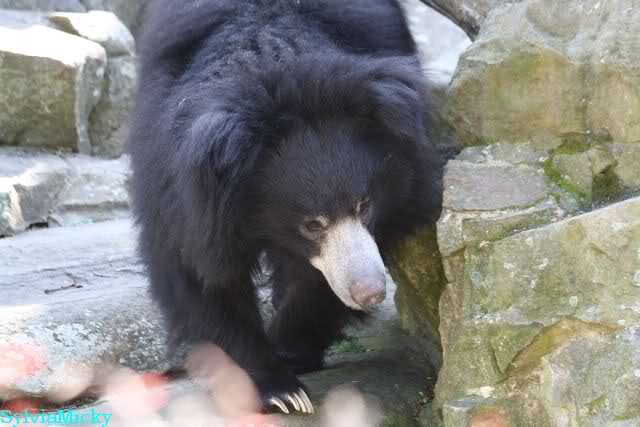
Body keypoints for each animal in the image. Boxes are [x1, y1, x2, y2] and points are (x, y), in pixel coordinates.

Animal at [128, 0, 442, 414]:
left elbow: (314, 283)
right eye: (312, 224)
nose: (370, 293)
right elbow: (199, 275)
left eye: (364, 206)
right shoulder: (179, 188)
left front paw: (291, 350)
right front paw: (281, 390)